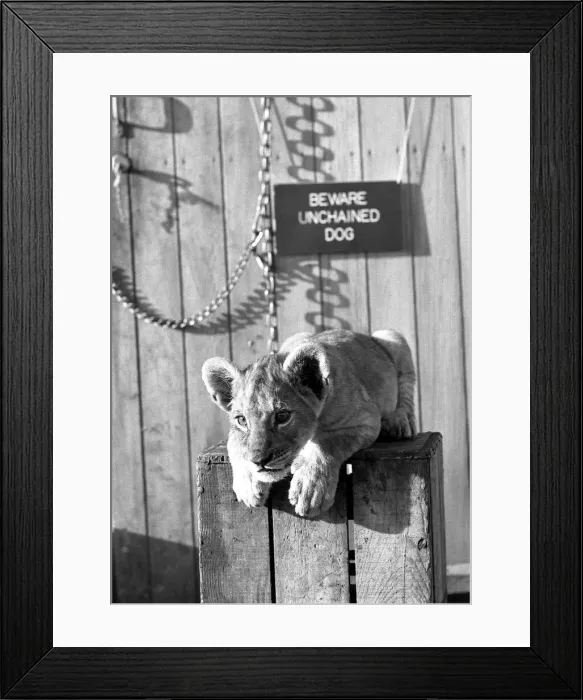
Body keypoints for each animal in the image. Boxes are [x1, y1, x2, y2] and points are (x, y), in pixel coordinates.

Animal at [202, 329, 416, 518]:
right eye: (241, 420)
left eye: (282, 416)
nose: (259, 461)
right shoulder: (234, 433)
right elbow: (236, 444)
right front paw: (248, 483)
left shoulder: (366, 420)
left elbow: (328, 442)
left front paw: (310, 488)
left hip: (392, 337)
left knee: (406, 395)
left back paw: (397, 423)